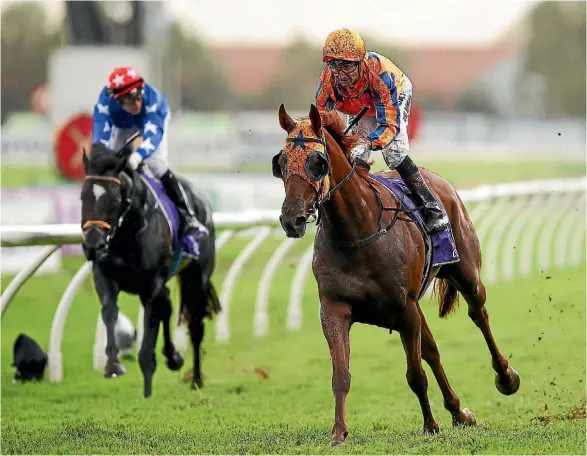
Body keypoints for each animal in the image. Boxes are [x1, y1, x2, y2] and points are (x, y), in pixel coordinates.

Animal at [80, 141, 220, 398]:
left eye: (114, 198)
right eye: (82, 195)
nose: (93, 244)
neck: (128, 229)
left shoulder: (151, 284)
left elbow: (150, 326)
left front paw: (147, 382)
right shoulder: (104, 275)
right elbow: (110, 311)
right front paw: (113, 365)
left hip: (197, 276)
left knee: (195, 325)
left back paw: (196, 379)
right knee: (167, 306)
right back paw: (173, 358)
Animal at [274, 104, 520, 446]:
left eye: (317, 162)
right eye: (280, 162)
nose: (291, 219)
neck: (357, 233)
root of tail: (439, 181)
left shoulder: (405, 309)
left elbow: (415, 374)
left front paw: (430, 425)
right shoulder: (334, 309)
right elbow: (341, 375)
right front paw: (338, 433)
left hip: (467, 275)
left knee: (478, 314)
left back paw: (505, 377)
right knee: (432, 349)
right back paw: (458, 411)